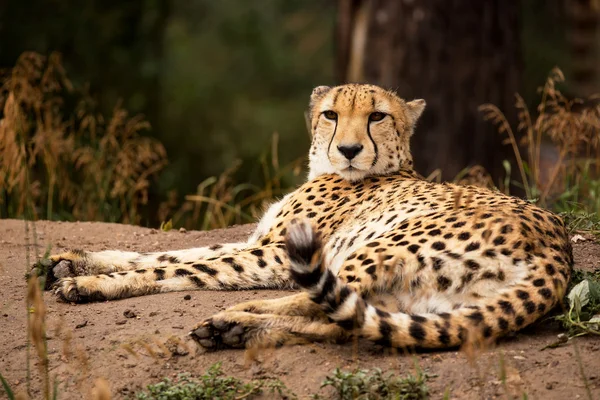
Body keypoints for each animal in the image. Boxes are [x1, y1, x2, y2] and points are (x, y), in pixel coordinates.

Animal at [39, 83, 576, 350]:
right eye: (331, 114)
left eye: (378, 116)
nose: (350, 149)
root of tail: (559, 248)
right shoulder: (258, 242)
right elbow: (171, 252)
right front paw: (74, 260)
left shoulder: (276, 254)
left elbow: (182, 267)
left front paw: (89, 284)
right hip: (424, 298)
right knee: (357, 324)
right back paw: (239, 330)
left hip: (381, 244)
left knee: (324, 302)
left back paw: (236, 317)